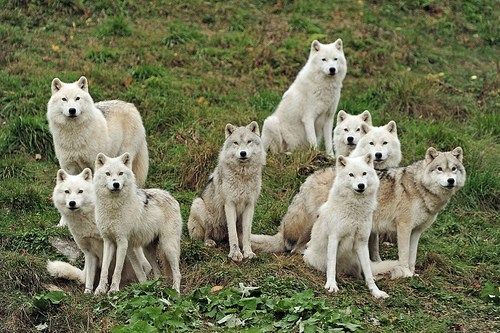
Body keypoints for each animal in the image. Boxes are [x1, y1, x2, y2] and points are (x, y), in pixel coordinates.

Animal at [93, 153, 183, 294]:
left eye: (120, 173)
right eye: (108, 173)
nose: (116, 184)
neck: (112, 207)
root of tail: (170, 196)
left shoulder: (122, 242)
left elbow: (117, 270)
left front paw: (113, 290)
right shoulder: (108, 242)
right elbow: (104, 269)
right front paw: (100, 290)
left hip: (168, 246)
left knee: (177, 273)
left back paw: (176, 292)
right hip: (147, 250)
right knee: (158, 272)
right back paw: (154, 287)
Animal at [188, 120, 266, 260]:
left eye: (249, 141)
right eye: (235, 143)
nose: (243, 153)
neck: (242, 176)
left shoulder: (250, 205)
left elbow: (247, 234)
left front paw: (248, 252)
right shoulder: (230, 204)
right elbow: (233, 233)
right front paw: (235, 254)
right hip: (199, 205)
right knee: (207, 234)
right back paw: (209, 242)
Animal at [302, 154, 388, 296]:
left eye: (364, 173)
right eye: (351, 174)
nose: (361, 185)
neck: (355, 209)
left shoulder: (362, 242)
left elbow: (368, 273)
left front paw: (376, 291)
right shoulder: (334, 238)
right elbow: (331, 266)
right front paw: (331, 285)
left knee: (366, 271)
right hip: (310, 257)